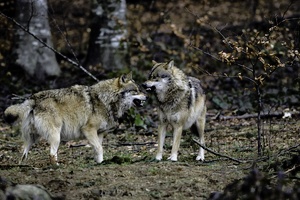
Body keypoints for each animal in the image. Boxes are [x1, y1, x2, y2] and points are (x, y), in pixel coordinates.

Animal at [3, 72, 146, 165]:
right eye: (136, 90)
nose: (147, 96)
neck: (106, 99)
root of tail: (33, 98)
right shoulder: (88, 130)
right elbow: (100, 148)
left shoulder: (99, 134)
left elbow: (98, 149)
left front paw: (99, 163)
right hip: (56, 136)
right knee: (51, 154)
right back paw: (57, 167)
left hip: (32, 138)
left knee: (23, 155)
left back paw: (22, 166)